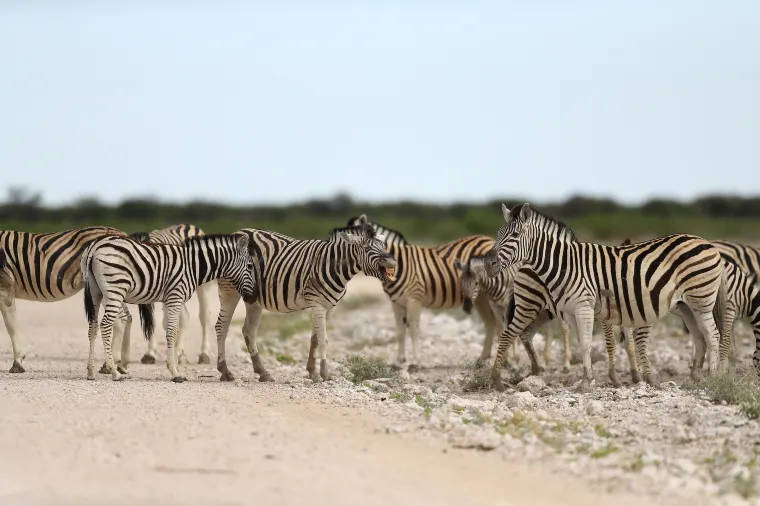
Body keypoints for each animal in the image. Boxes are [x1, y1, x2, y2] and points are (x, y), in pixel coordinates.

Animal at [0, 225, 123, 372]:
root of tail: (121, 233)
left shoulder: (5, 288)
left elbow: (11, 326)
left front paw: (17, 362)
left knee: (119, 322)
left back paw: (110, 365)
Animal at [82, 232, 256, 380]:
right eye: (250, 266)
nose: (253, 297)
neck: (192, 266)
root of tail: (95, 245)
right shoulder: (175, 297)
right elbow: (172, 331)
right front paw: (175, 372)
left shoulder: (170, 300)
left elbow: (175, 328)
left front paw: (174, 365)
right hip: (115, 290)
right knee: (105, 325)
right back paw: (114, 372)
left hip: (96, 292)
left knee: (93, 327)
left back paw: (90, 371)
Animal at [211, 225, 394, 384]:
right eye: (368, 248)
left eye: (384, 246)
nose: (392, 262)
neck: (335, 266)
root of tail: (237, 232)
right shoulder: (317, 304)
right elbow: (323, 339)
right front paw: (324, 374)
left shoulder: (328, 307)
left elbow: (315, 338)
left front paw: (312, 372)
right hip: (229, 290)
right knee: (222, 326)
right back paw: (225, 371)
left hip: (253, 299)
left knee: (248, 331)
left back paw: (263, 372)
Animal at [342, 214, 496, 372]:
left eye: (353, 244)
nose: (341, 264)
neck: (399, 264)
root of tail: (489, 238)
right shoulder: (396, 302)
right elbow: (400, 331)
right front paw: (399, 361)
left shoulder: (414, 300)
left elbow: (414, 330)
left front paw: (416, 362)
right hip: (481, 297)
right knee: (491, 323)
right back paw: (482, 359)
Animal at [484, 203, 728, 392]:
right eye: (497, 234)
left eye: (515, 236)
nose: (488, 264)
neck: (564, 265)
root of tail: (707, 243)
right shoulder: (572, 311)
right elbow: (585, 343)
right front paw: (590, 378)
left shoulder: (584, 306)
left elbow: (588, 344)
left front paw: (587, 382)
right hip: (686, 306)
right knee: (700, 336)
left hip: (701, 300)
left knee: (712, 335)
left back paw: (713, 377)